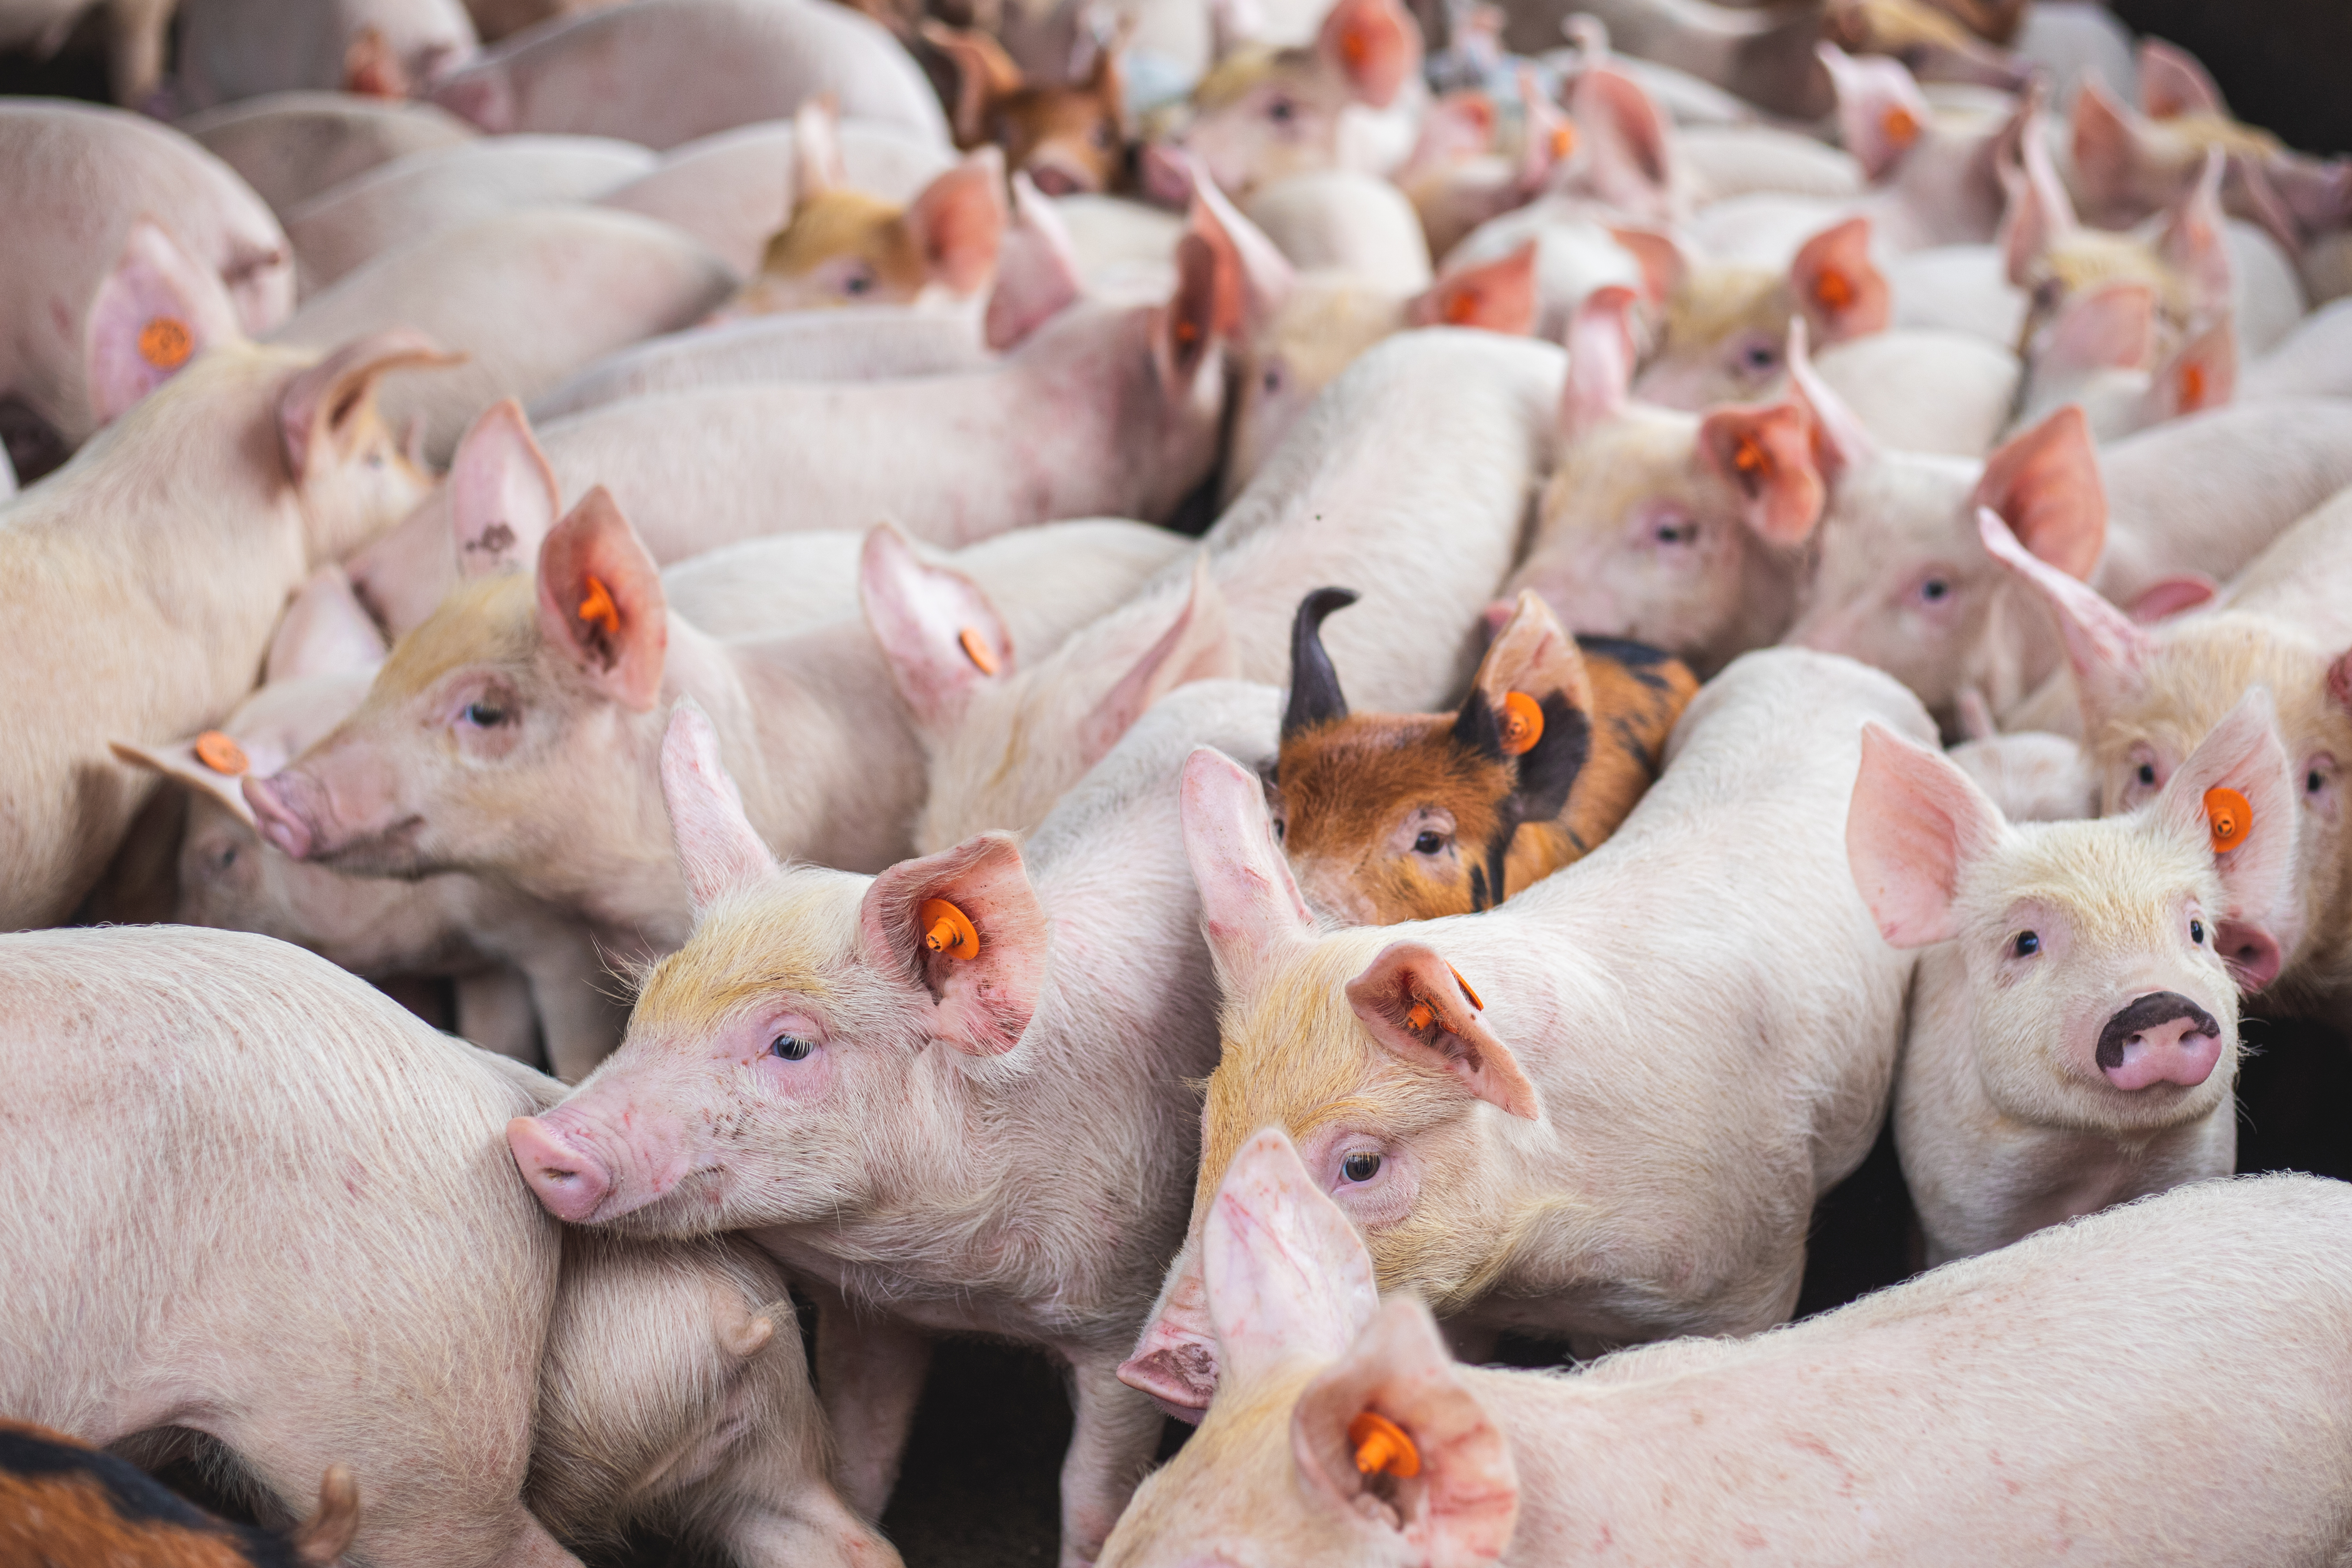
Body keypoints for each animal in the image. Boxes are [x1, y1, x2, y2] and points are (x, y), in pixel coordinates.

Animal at [504, 680, 1285, 1565]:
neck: (959, 1287)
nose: (537, 1138)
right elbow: (860, 1463)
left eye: (790, 1043)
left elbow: (1091, 1500)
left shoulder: (1122, 1314)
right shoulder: (871, 1315)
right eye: (644, 1006)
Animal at [1119, 648, 1929, 1419]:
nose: (1154, 1363)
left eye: (1359, 1164)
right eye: (1212, 1123)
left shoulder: (1757, 1259)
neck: (1547, 1269)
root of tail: (1828, 662)